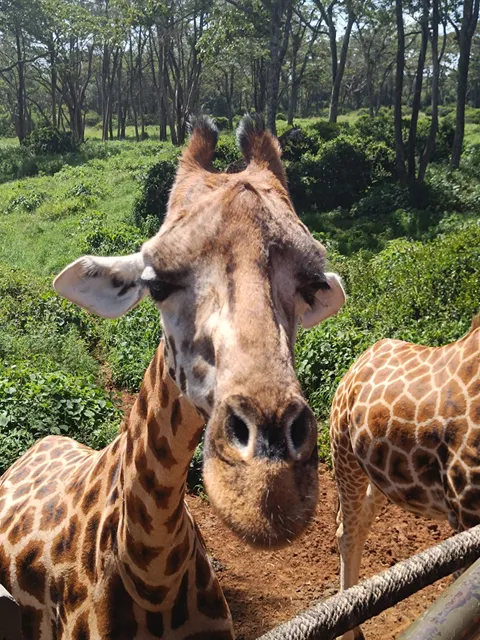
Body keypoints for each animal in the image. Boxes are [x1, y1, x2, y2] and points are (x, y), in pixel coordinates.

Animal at [330, 314, 480, 640]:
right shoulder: (466, 515)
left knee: (359, 524)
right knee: (346, 532)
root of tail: (360, 360)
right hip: (343, 451)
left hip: (378, 474)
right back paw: (349, 630)